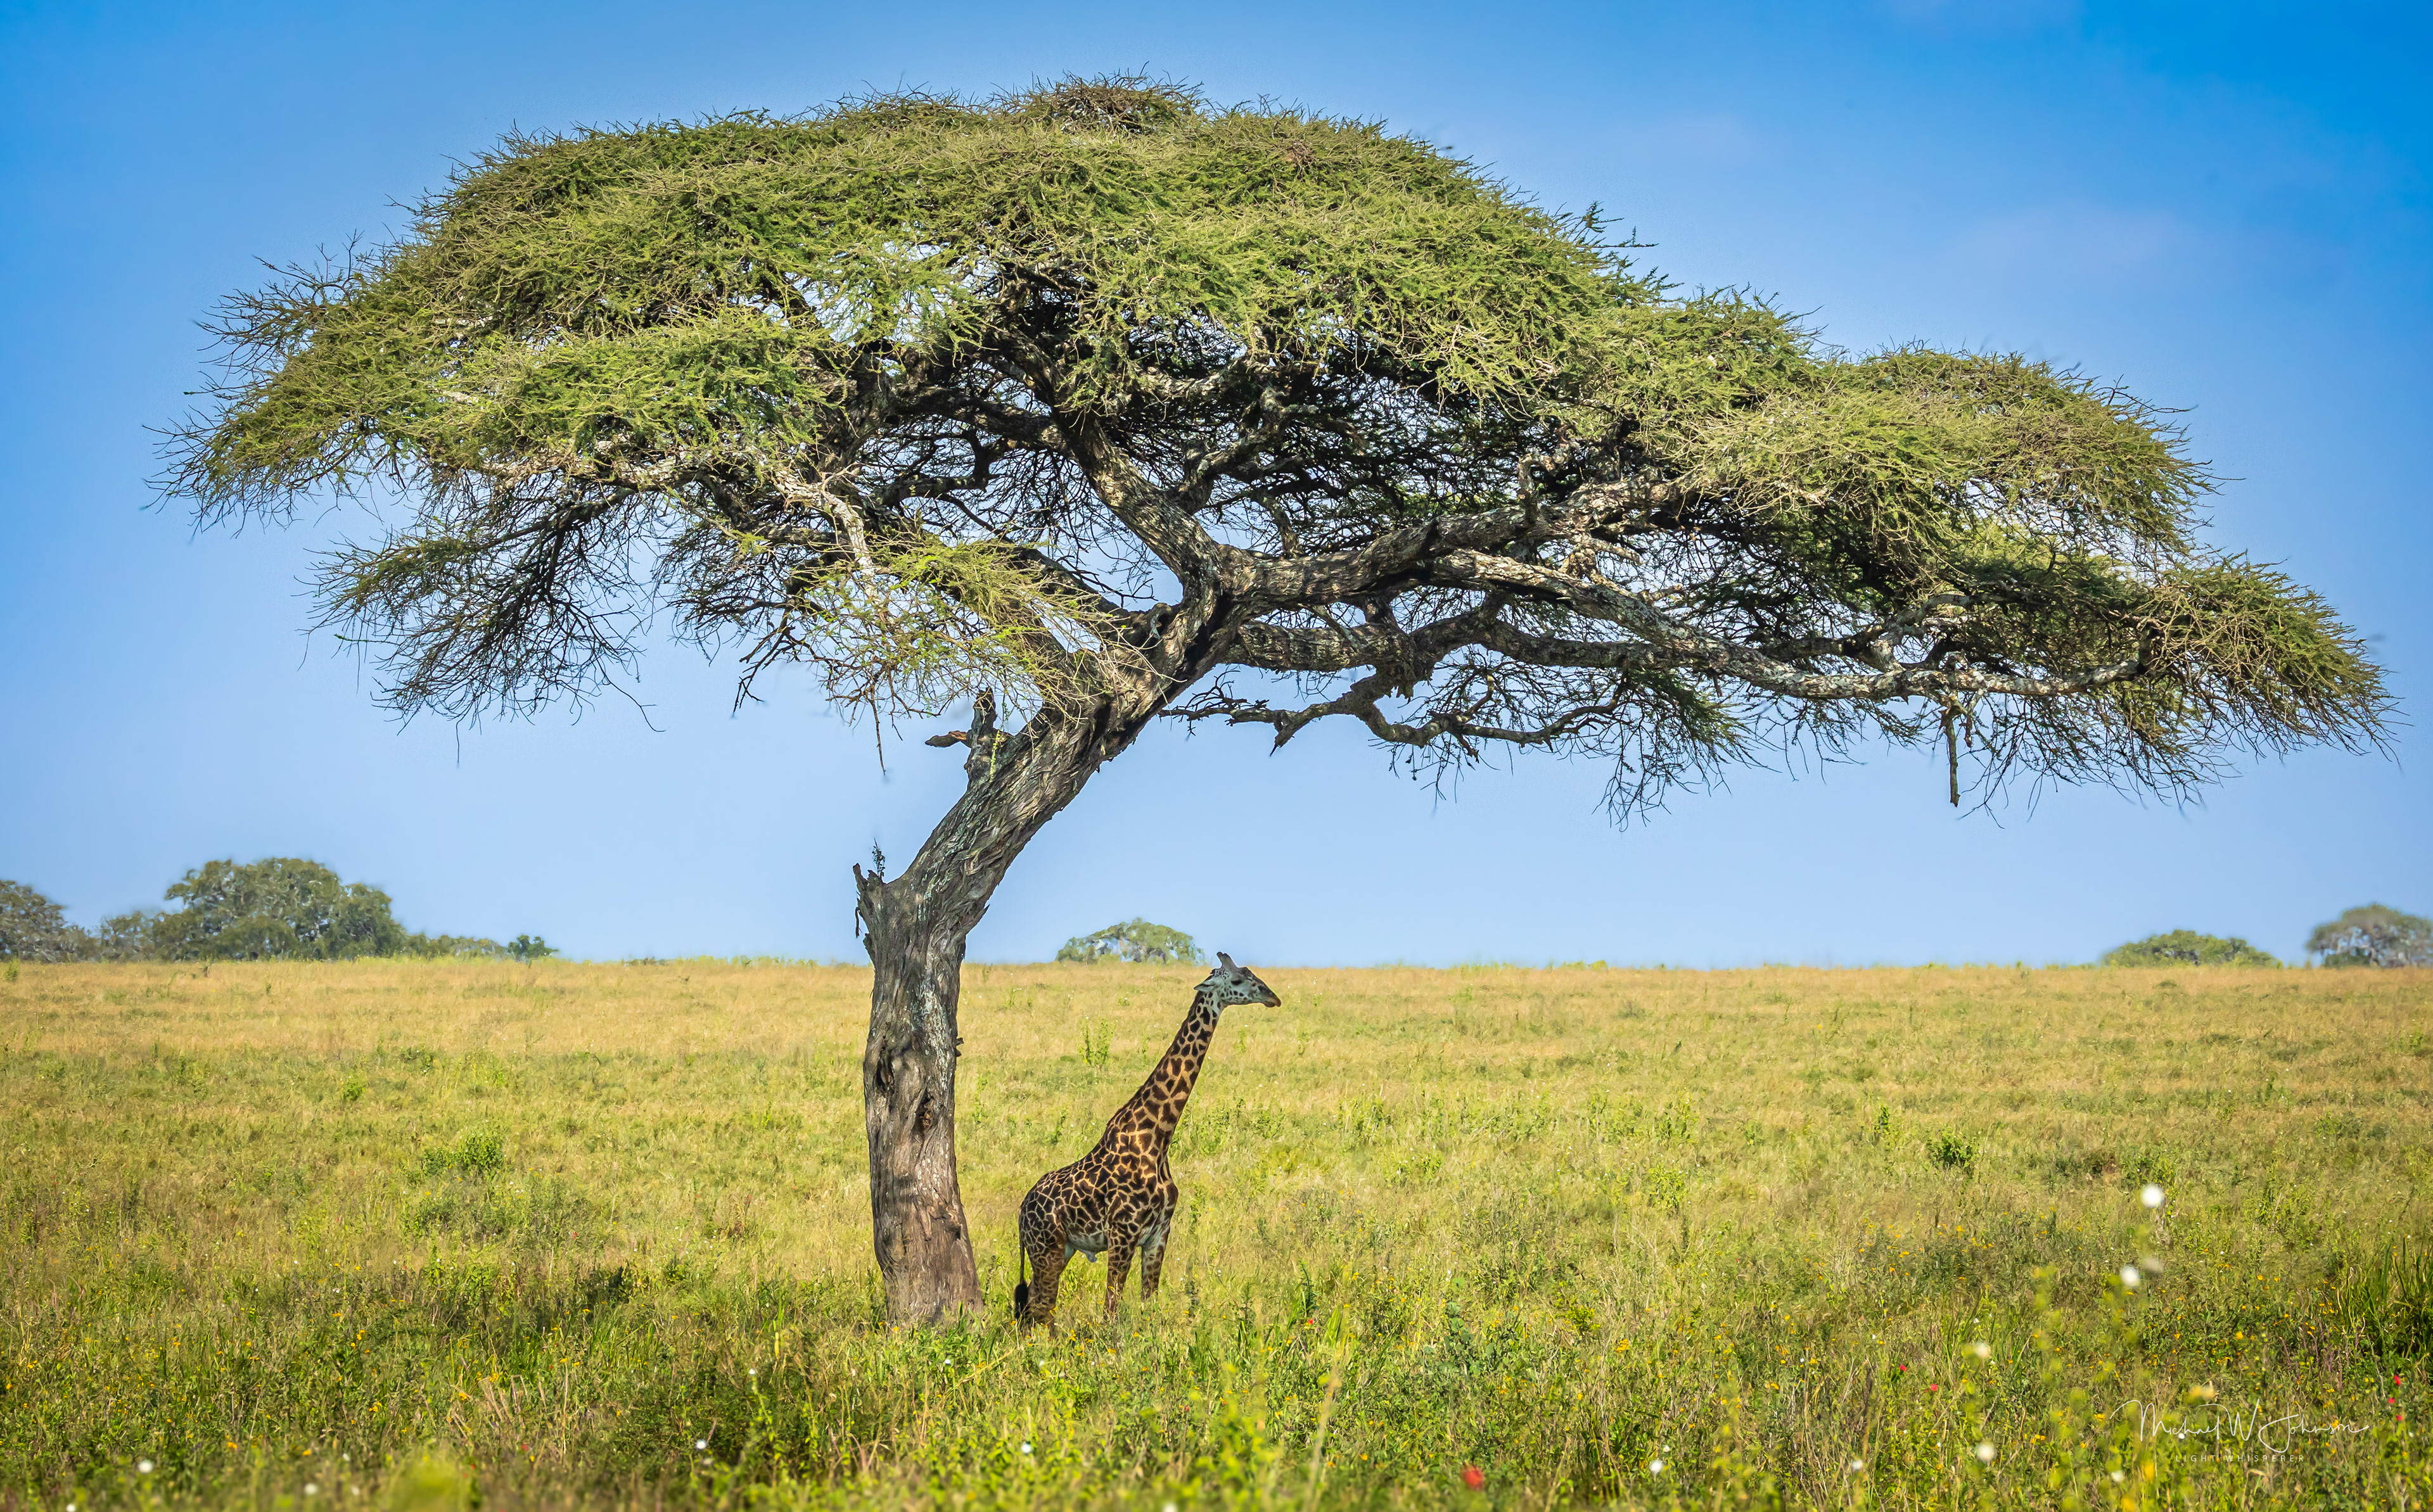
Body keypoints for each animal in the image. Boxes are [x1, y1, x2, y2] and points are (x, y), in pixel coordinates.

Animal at [1013, 953, 1281, 1328]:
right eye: (1239, 980)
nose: (1274, 998)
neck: (1156, 1138)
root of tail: (1021, 1212)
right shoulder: (1122, 1236)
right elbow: (1111, 1311)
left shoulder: (1158, 1234)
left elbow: (1149, 1305)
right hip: (1046, 1249)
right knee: (1038, 1308)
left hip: (1060, 1249)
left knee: (1035, 1307)